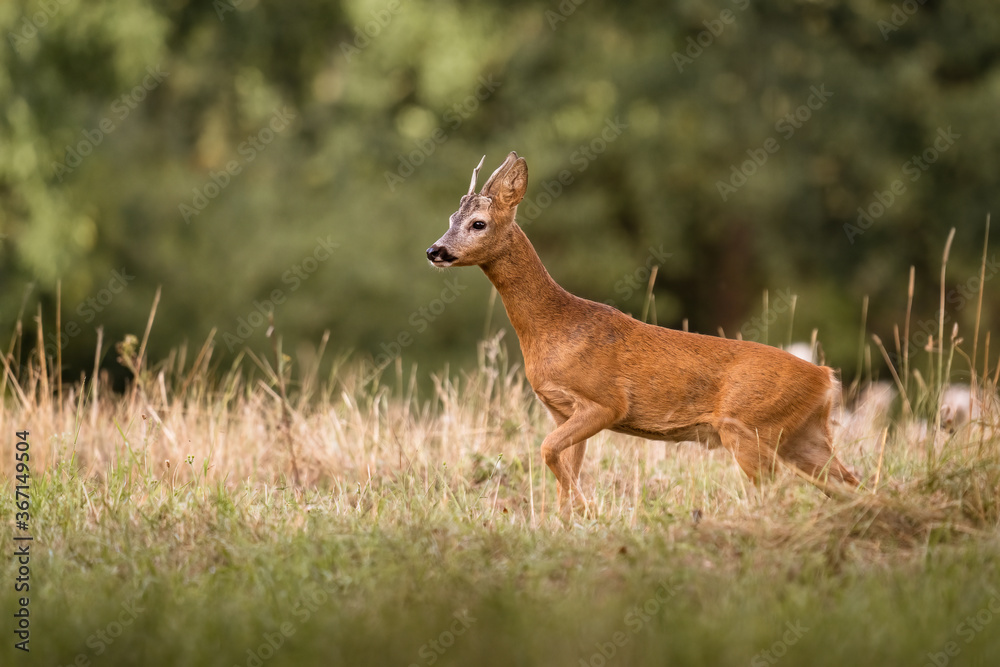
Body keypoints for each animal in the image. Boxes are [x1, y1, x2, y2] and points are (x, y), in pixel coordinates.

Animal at [426, 153, 856, 516]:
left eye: (478, 223)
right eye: (449, 218)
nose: (435, 251)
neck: (554, 326)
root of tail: (825, 378)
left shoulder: (605, 402)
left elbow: (548, 451)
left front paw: (589, 510)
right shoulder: (561, 409)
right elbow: (564, 470)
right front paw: (569, 521)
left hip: (749, 427)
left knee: (779, 492)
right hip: (803, 436)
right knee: (851, 484)